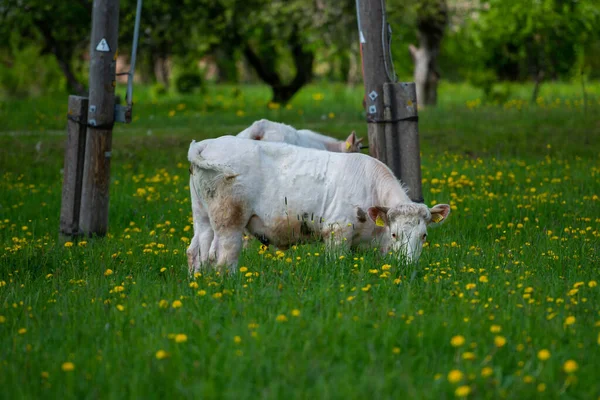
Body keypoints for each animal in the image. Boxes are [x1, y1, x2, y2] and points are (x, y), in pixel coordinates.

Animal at [188, 135, 450, 272]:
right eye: (395, 234)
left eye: (424, 235)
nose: (408, 265)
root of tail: (207, 143)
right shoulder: (338, 231)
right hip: (229, 221)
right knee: (223, 258)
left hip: (202, 216)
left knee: (196, 252)